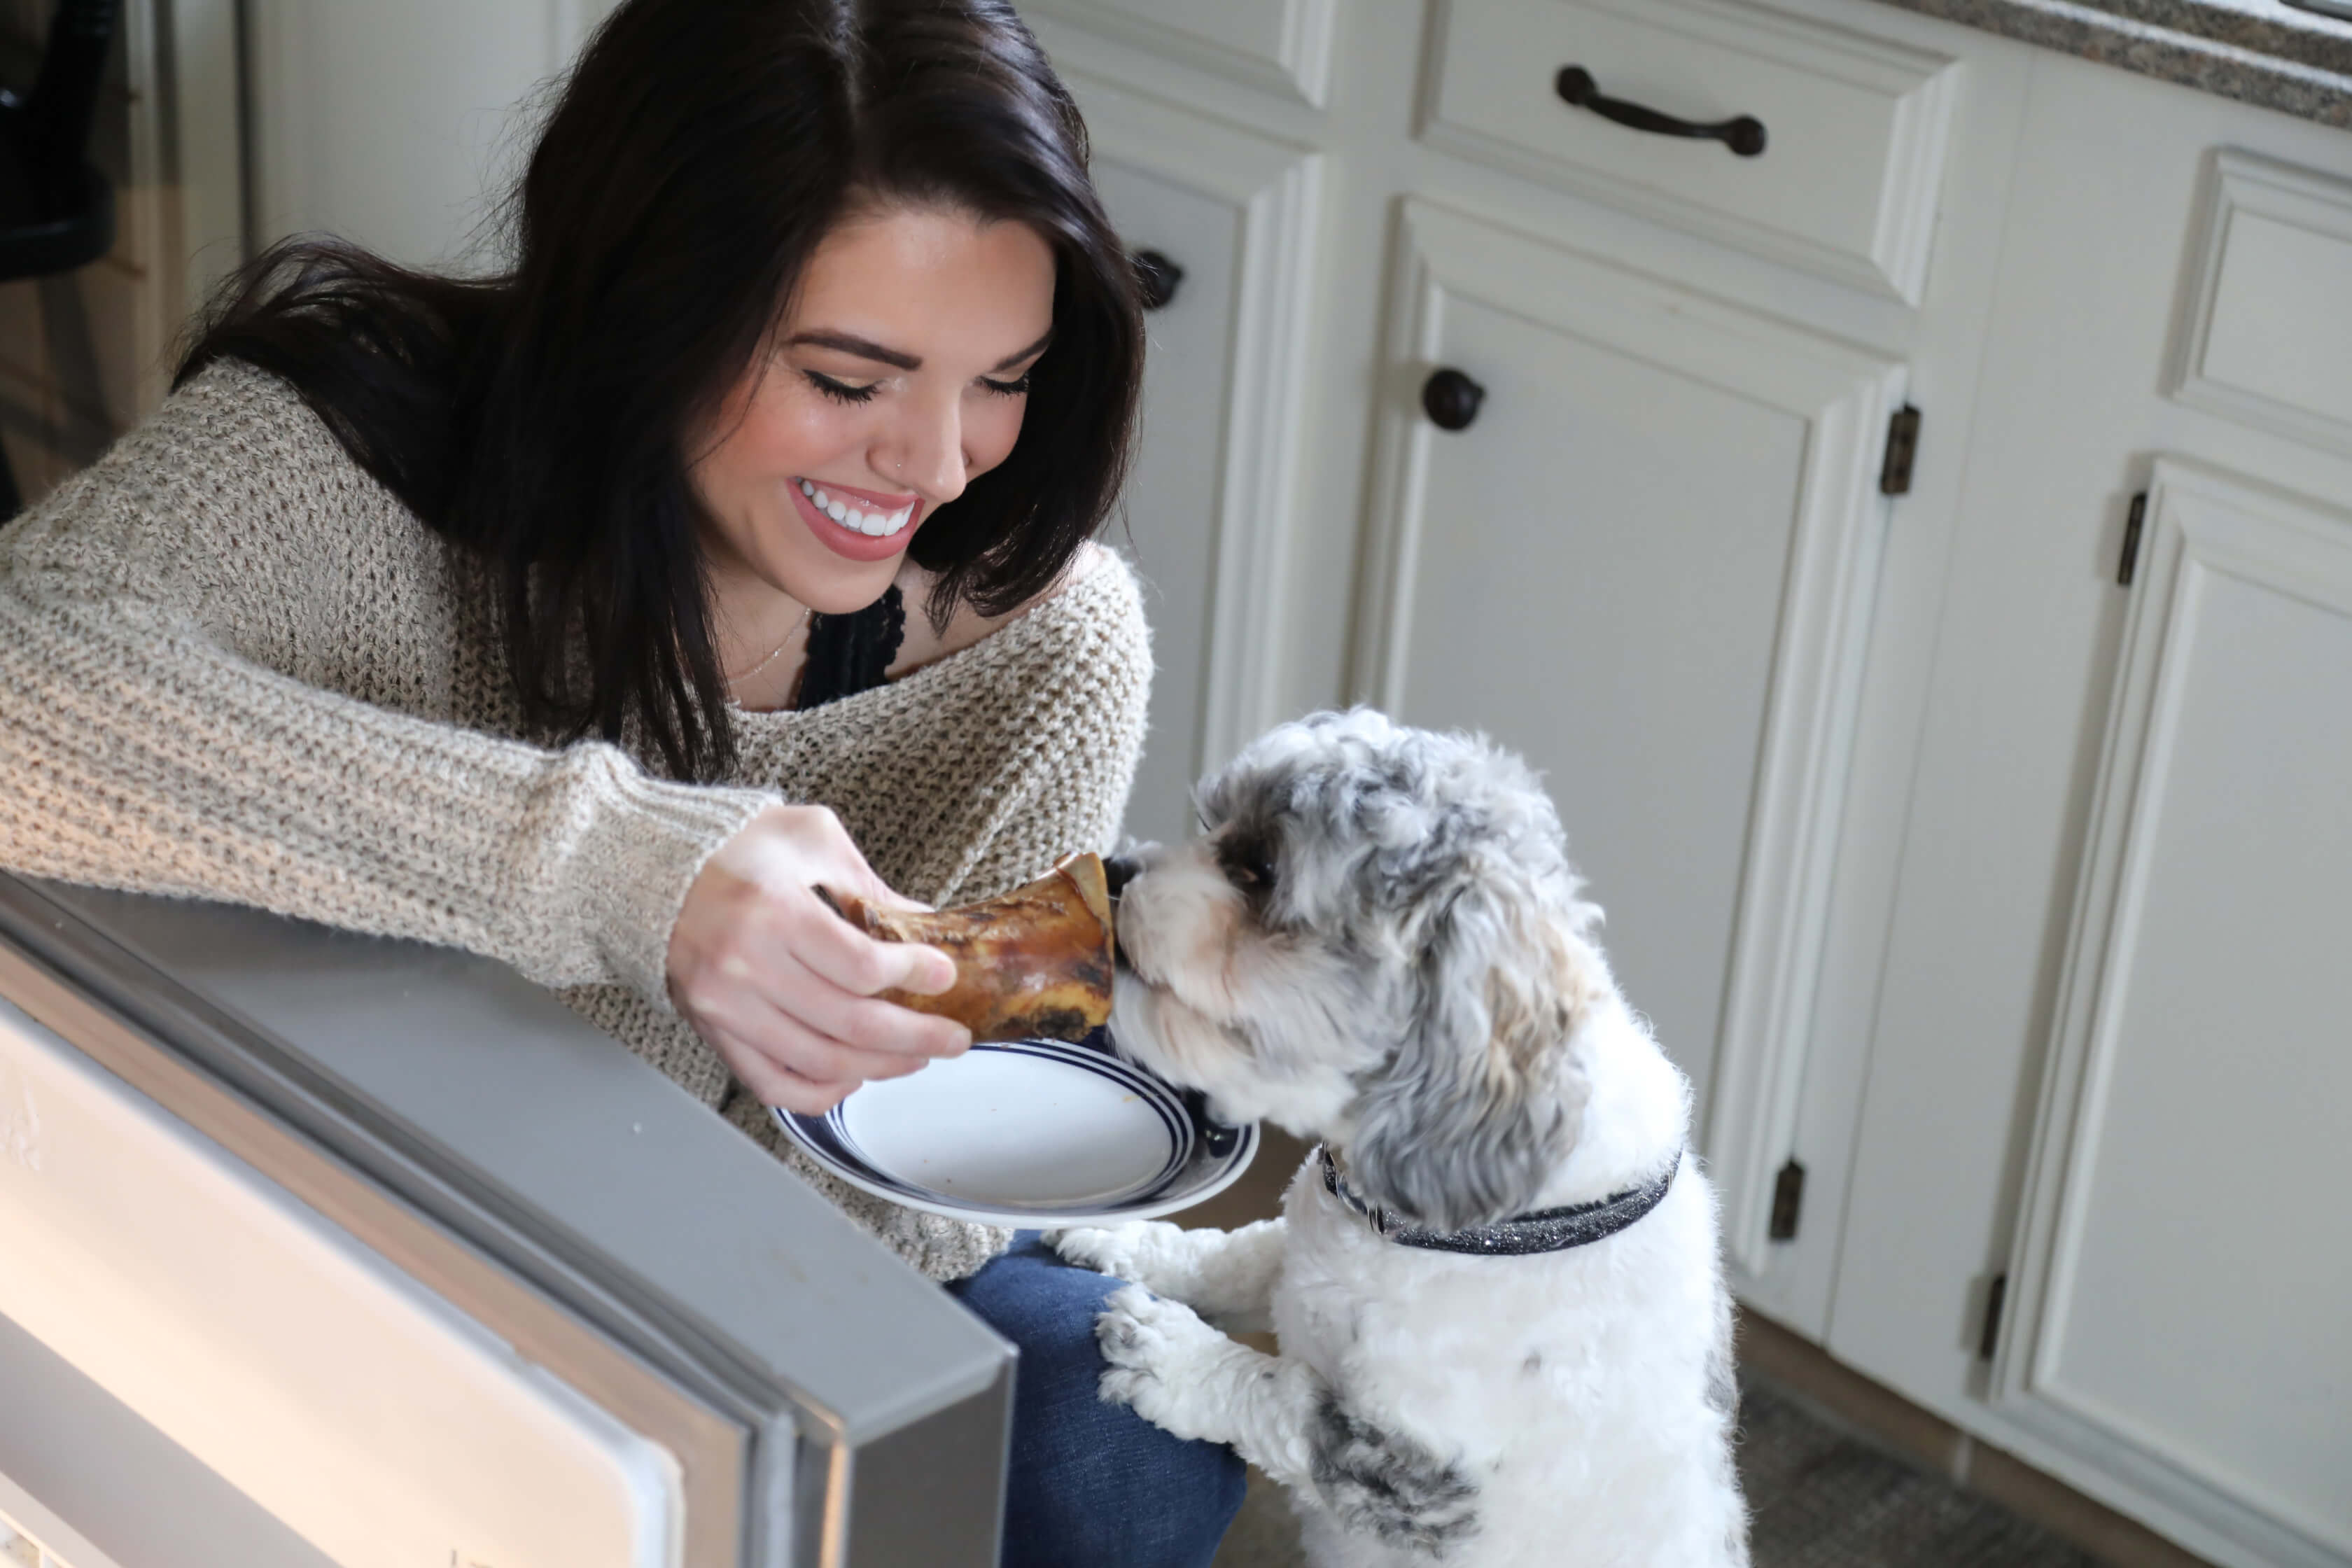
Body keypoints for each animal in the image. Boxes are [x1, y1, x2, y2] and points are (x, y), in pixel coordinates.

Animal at [1054, 714, 1749, 1568]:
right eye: (1212, 819)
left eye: (1261, 869)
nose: (1114, 868)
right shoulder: (1304, 1251)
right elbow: (1235, 1252)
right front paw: (1125, 1241)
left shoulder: (1419, 1475)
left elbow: (1282, 1401)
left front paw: (1171, 1353)